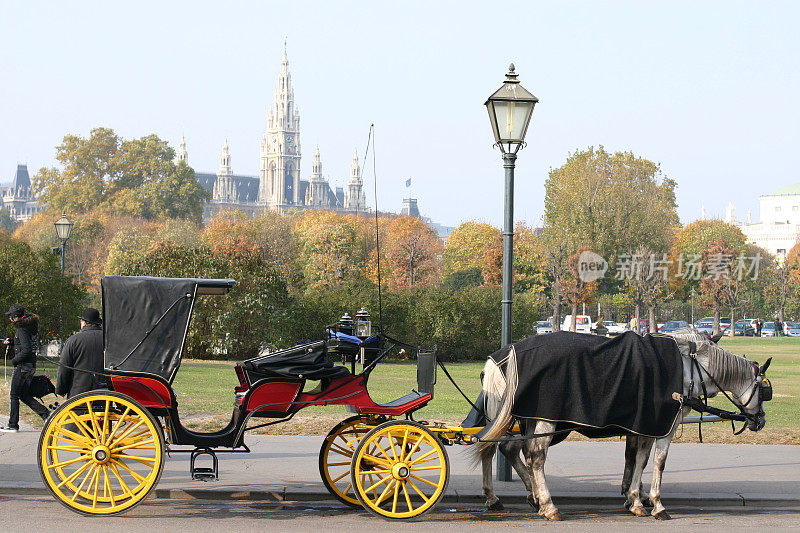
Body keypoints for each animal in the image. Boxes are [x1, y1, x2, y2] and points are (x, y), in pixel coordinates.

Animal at [476, 332, 768, 520]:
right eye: (764, 391)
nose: (761, 420)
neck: (690, 366)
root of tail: (503, 356)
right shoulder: (664, 425)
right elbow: (658, 462)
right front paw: (656, 503)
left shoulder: (645, 424)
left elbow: (638, 459)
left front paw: (635, 499)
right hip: (546, 418)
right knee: (534, 456)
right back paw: (546, 504)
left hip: (529, 418)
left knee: (507, 450)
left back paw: (523, 497)